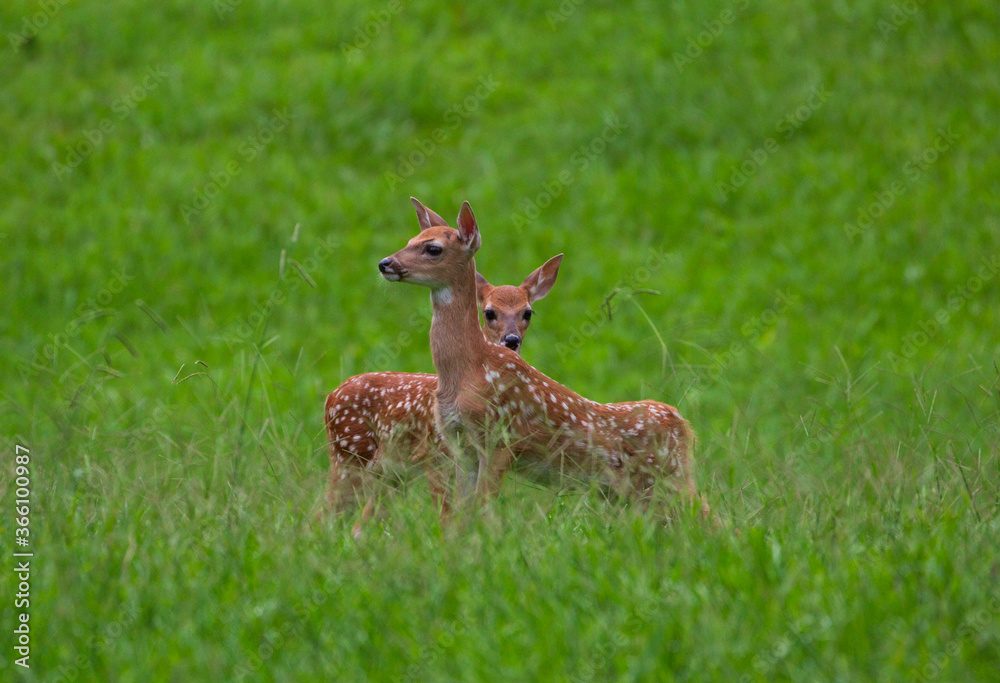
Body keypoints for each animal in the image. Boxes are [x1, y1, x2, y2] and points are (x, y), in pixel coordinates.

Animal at [328, 200, 564, 532]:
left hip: (386, 468)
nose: (386, 263)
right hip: (351, 455)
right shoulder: (438, 456)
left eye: (527, 312)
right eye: (489, 312)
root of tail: (330, 396)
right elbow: (451, 514)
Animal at [378, 198, 708, 520]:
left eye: (433, 248)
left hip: (669, 475)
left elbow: (483, 509)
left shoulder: (501, 438)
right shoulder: (461, 445)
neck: (467, 371)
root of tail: (683, 423)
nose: (385, 263)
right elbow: (462, 513)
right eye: (410, 240)